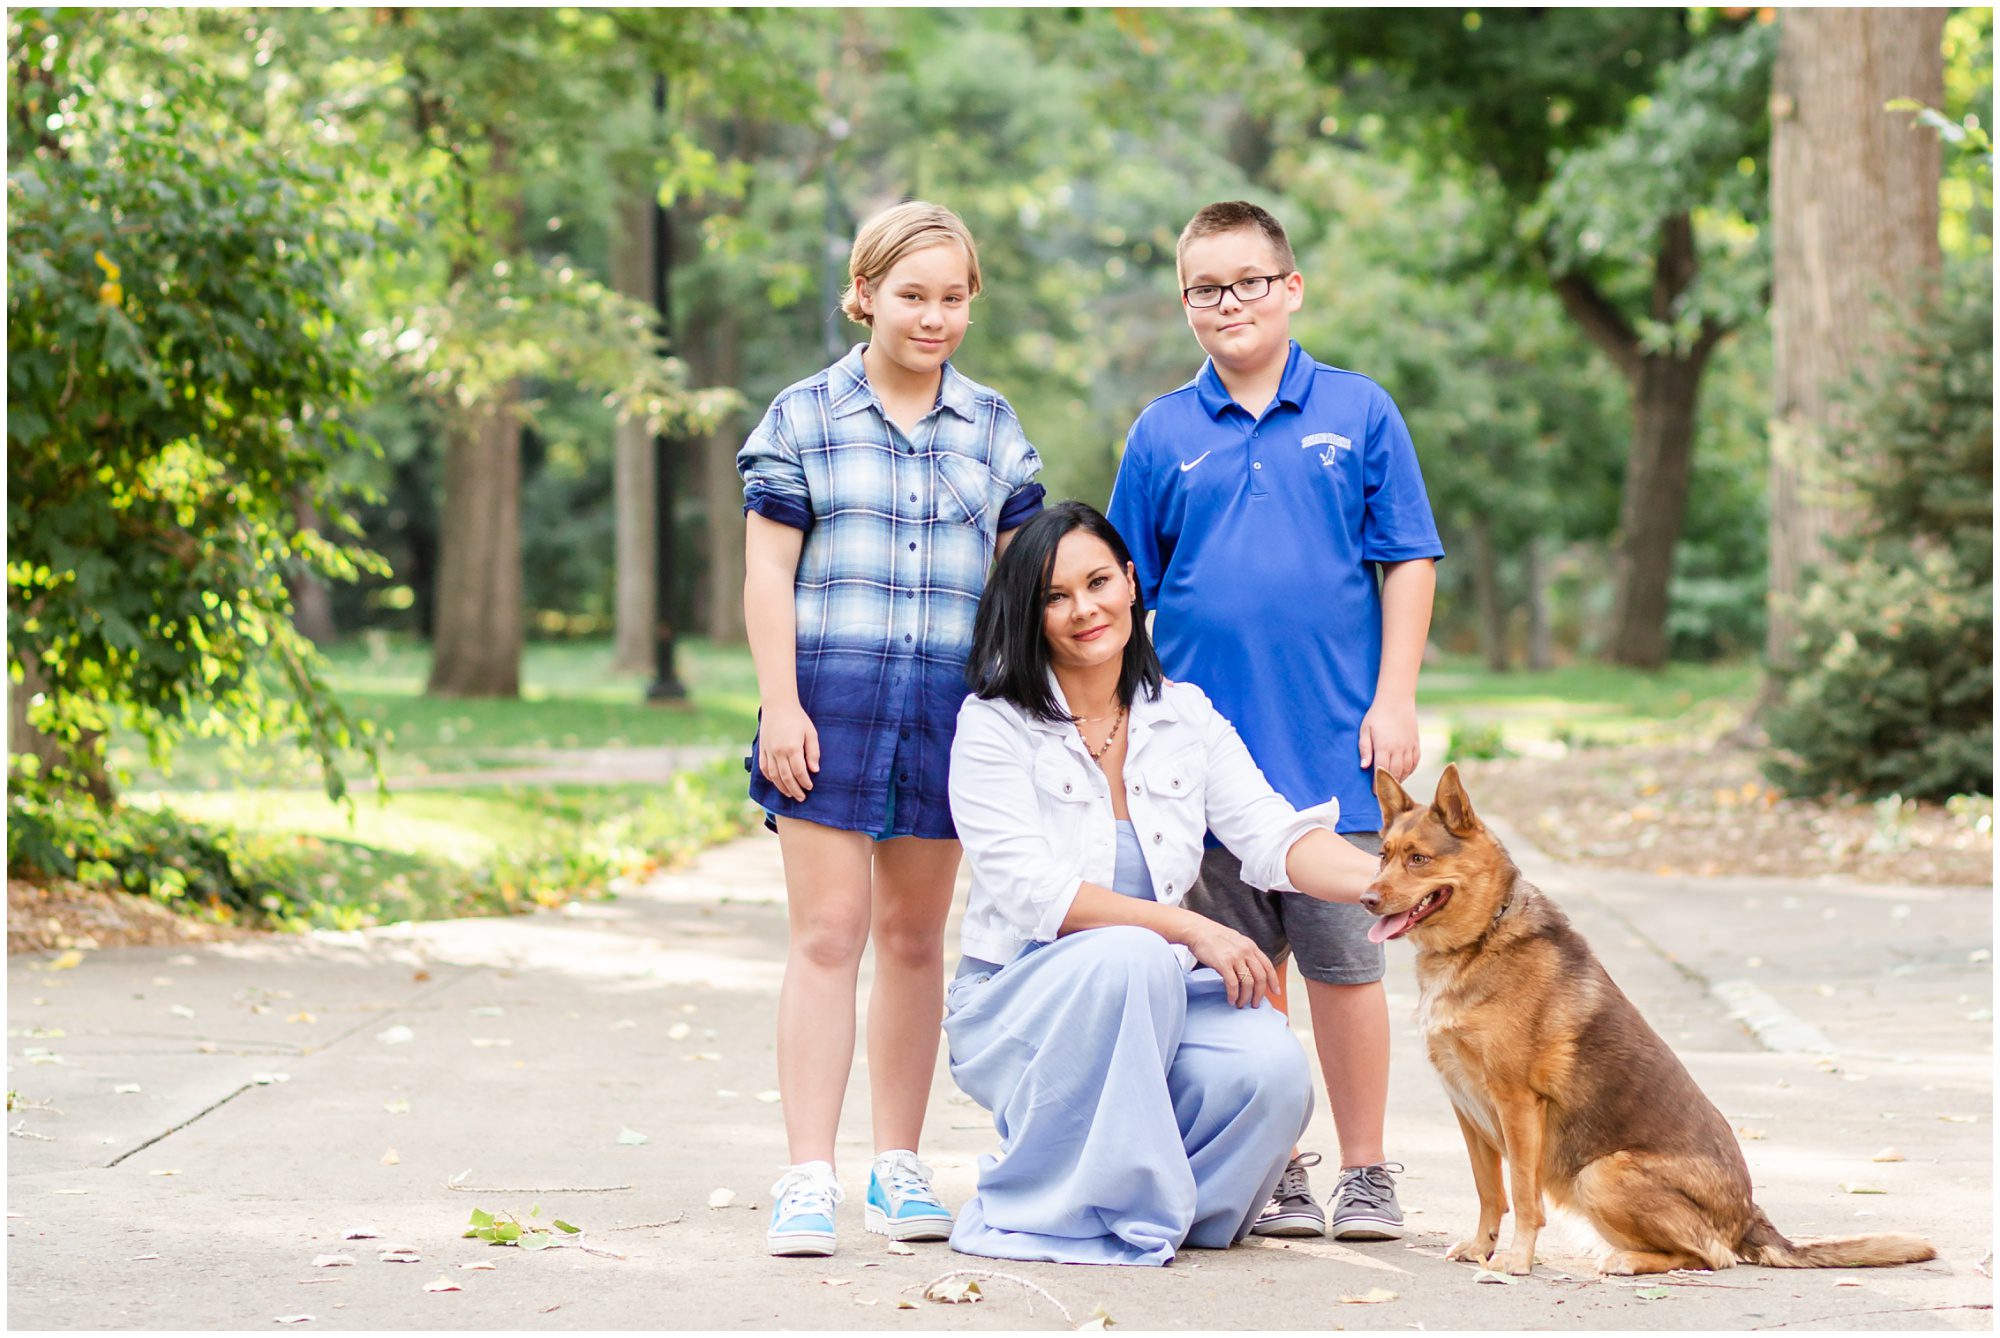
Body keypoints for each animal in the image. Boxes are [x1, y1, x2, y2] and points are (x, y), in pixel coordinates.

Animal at [1360, 760, 1936, 1272]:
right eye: (1382, 855)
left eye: (1419, 859)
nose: (1365, 898)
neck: (1482, 938)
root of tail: (1749, 1216)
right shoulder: (1467, 1108)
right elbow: (1489, 1192)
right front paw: (1483, 1246)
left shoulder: (1517, 1105)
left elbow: (1523, 1196)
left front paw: (1515, 1261)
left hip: (1600, 1174)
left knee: (1713, 1256)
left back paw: (1625, 1260)